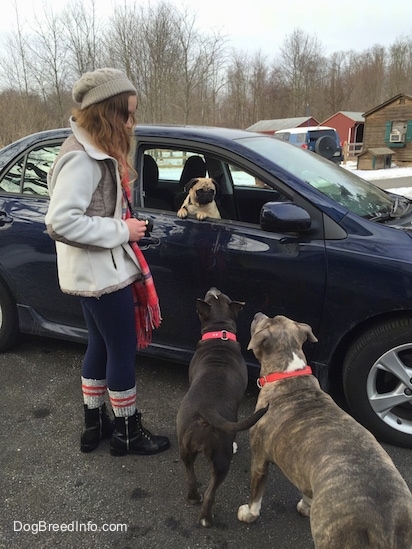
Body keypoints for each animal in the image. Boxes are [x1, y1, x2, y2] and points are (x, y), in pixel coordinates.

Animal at [176, 286, 268, 528]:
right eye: (212, 296)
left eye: (220, 296)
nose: (213, 288)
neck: (220, 335)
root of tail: (205, 410)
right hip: (221, 459)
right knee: (211, 492)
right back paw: (206, 519)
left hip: (185, 448)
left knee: (190, 476)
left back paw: (193, 498)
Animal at [237, 312, 412, 548]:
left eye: (265, 323)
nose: (257, 314)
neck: (289, 374)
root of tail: (384, 526)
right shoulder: (305, 470)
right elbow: (307, 490)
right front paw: (305, 506)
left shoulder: (259, 457)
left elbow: (256, 494)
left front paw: (249, 514)